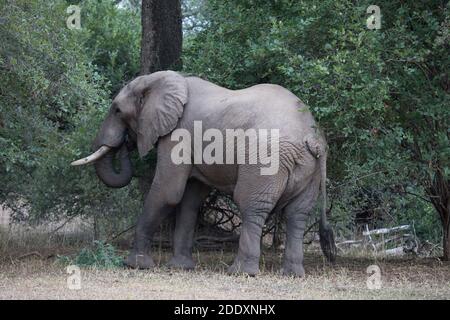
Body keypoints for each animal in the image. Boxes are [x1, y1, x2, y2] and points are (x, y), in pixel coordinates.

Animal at [72, 70, 336, 278]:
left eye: (117, 110)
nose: (126, 143)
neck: (163, 80)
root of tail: (312, 136)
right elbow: (190, 199)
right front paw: (180, 268)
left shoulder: (178, 136)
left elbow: (168, 192)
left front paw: (135, 265)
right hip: (310, 169)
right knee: (297, 214)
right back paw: (293, 274)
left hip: (267, 160)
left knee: (252, 205)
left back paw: (240, 273)